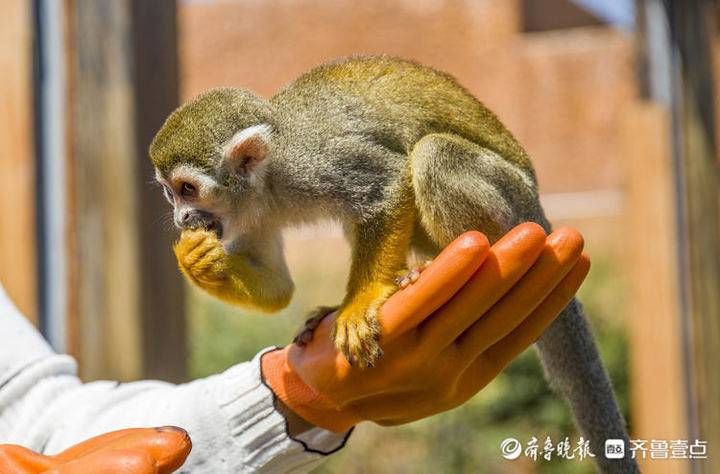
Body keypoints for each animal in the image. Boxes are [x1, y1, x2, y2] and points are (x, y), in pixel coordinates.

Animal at [150, 56, 636, 474]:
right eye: (170, 194)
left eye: (188, 189)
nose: (182, 219)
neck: (267, 182)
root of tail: (539, 211)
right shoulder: (248, 213)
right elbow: (279, 287)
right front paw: (199, 260)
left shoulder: (317, 163)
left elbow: (385, 184)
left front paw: (358, 305)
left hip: (511, 202)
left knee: (432, 154)